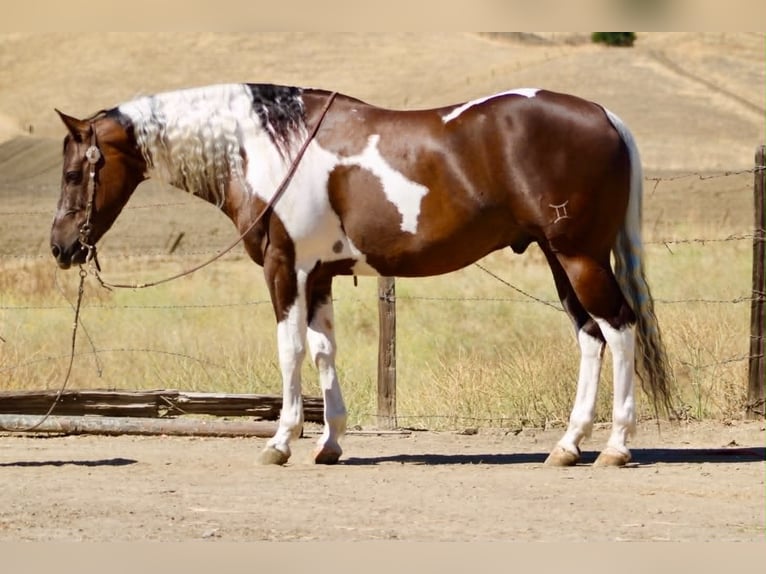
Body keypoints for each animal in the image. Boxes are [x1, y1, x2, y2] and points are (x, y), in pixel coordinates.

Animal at [50, 83, 673, 466]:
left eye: (75, 172)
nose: (61, 247)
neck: (270, 147)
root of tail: (603, 115)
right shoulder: (320, 275)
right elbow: (324, 351)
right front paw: (329, 443)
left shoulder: (286, 269)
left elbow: (289, 351)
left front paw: (281, 441)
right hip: (557, 258)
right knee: (590, 337)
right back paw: (568, 446)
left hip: (578, 256)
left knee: (619, 328)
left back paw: (616, 447)